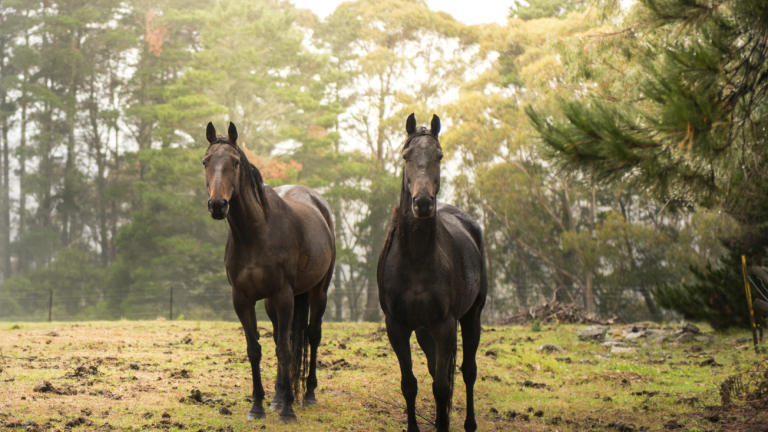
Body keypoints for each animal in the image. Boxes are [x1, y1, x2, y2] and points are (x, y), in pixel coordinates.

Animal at [202, 120, 334, 422]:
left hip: (318, 292)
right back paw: (278, 396)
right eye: (205, 161)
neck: (255, 234)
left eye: (236, 162)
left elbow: (285, 350)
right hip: (272, 304)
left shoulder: (284, 296)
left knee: (312, 335)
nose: (218, 205)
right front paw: (258, 405)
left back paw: (307, 395)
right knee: (278, 337)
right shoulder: (243, 300)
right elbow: (255, 350)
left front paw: (287, 411)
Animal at [376, 113, 486, 430]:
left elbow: (441, 386)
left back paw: (468, 423)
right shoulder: (397, 327)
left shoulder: (445, 325)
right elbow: (410, 384)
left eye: (439, 155)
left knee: (467, 371)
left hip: (471, 317)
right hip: (424, 330)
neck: (416, 260)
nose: (423, 203)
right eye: (406, 155)